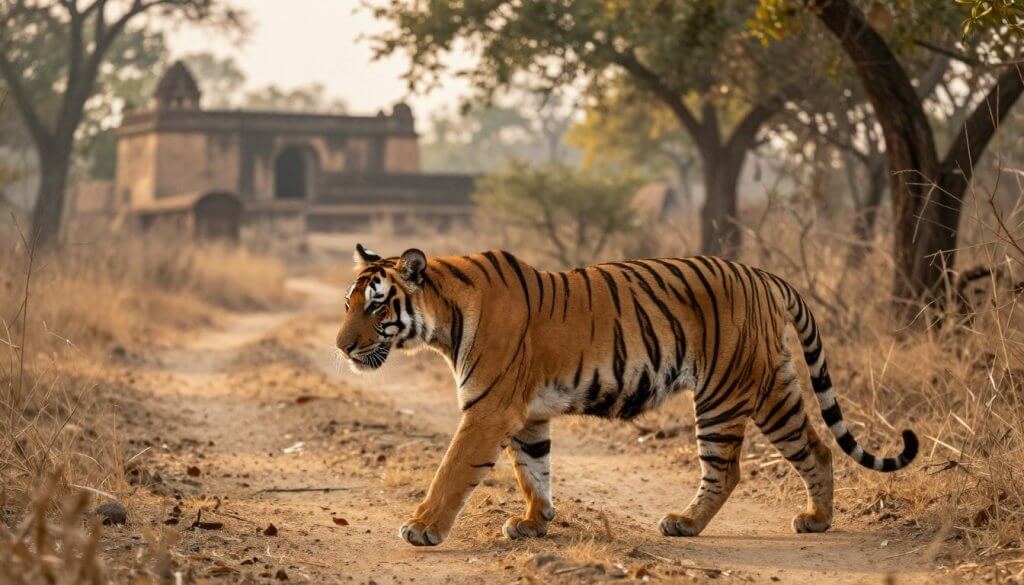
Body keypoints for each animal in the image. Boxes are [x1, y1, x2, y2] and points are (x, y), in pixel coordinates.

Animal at [335, 244, 918, 547]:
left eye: (376, 305)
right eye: (348, 304)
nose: (341, 347)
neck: (443, 321)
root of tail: (763, 274)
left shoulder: (488, 410)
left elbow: (453, 470)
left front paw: (422, 527)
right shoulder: (525, 416)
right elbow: (533, 470)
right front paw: (534, 523)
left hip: (725, 392)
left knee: (727, 469)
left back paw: (685, 523)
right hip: (774, 385)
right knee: (816, 447)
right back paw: (817, 519)